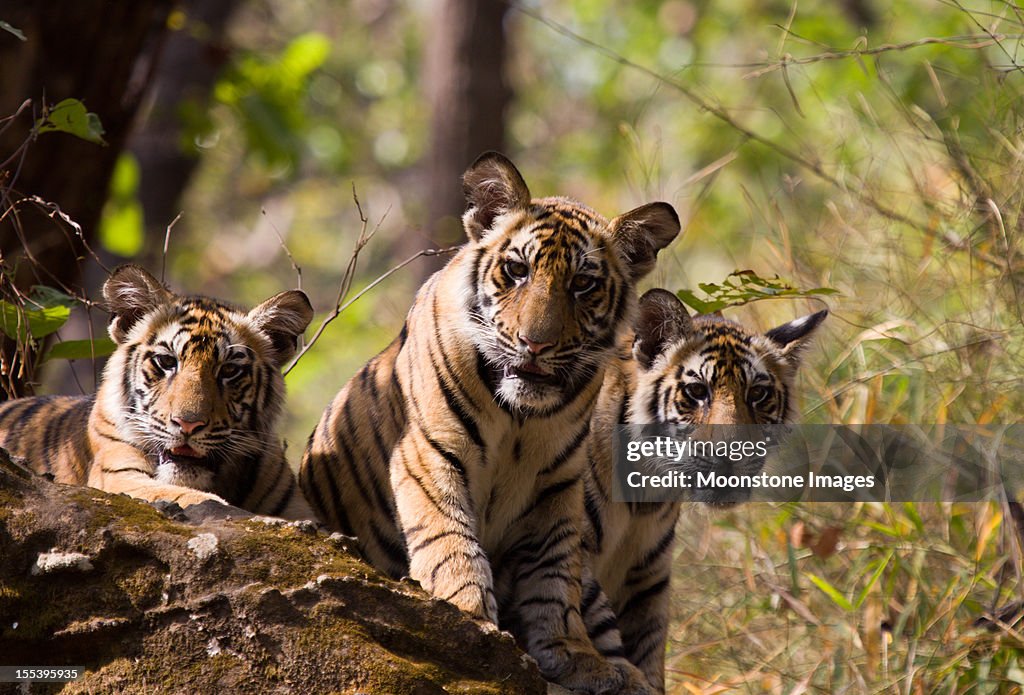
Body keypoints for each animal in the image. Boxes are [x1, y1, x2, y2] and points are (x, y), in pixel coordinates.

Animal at [299, 153, 679, 695]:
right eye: (517, 270)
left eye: (582, 284)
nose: (535, 343)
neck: (520, 419)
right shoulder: (430, 452)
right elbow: (450, 538)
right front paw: (469, 619)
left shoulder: (558, 483)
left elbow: (555, 574)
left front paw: (573, 654)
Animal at [585, 286, 823, 691]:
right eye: (697, 391)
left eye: (758, 394)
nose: (732, 453)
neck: (645, 492)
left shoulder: (646, 578)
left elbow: (648, 647)